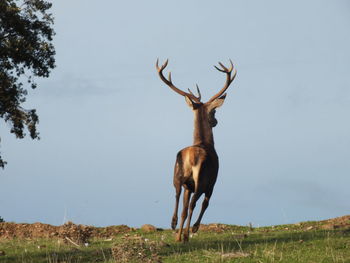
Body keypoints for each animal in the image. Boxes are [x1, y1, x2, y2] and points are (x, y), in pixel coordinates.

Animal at [157, 58, 237, 242]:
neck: (205, 143)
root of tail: (191, 157)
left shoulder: (188, 186)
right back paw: (187, 232)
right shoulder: (213, 182)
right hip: (201, 180)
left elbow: (184, 208)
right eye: (213, 111)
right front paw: (193, 229)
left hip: (178, 177)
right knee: (194, 203)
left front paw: (179, 235)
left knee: (178, 196)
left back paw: (174, 227)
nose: (215, 121)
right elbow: (205, 204)